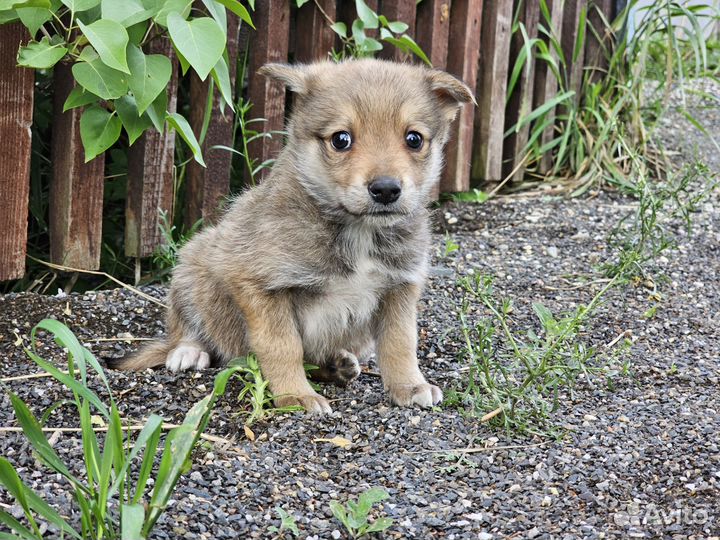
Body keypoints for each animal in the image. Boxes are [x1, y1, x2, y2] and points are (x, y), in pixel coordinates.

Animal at [112, 59, 472, 414]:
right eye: (341, 139)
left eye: (414, 139)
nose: (385, 189)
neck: (356, 231)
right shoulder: (259, 285)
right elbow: (284, 346)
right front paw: (295, 396)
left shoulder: (400, 287)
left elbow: (400, 342)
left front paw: (409, 386)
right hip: (191, 268)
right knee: (185, 327)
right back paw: (188, 352)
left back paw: (338, 364)